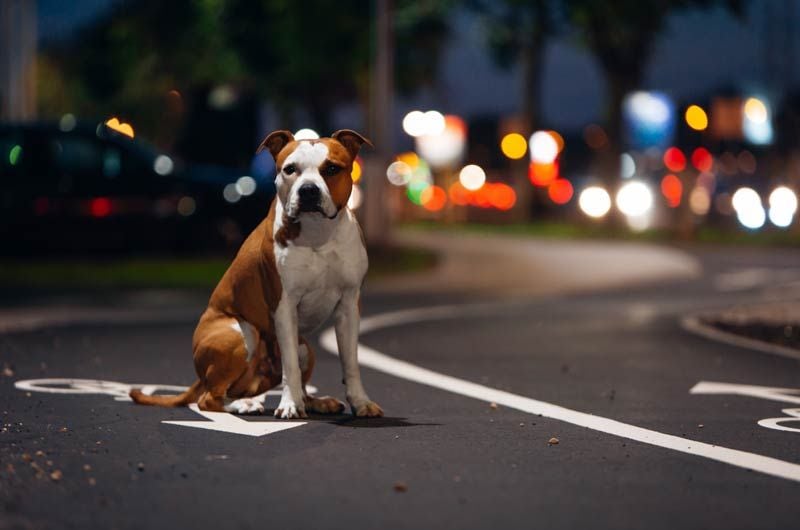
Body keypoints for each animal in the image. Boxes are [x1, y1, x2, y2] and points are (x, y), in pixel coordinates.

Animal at [130, 128, 382, 416]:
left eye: (331, 168)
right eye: (290, 169)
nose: (308, 190)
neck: (317, 233)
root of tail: (199, 377)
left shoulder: (349, 305)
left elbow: (350, 362)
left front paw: (360, 402)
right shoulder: (284, 306)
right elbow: (290, 367)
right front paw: (289, 405)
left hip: (305, 348)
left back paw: (314, 402)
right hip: (241, 334)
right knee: (210, 398)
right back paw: (245, 404)